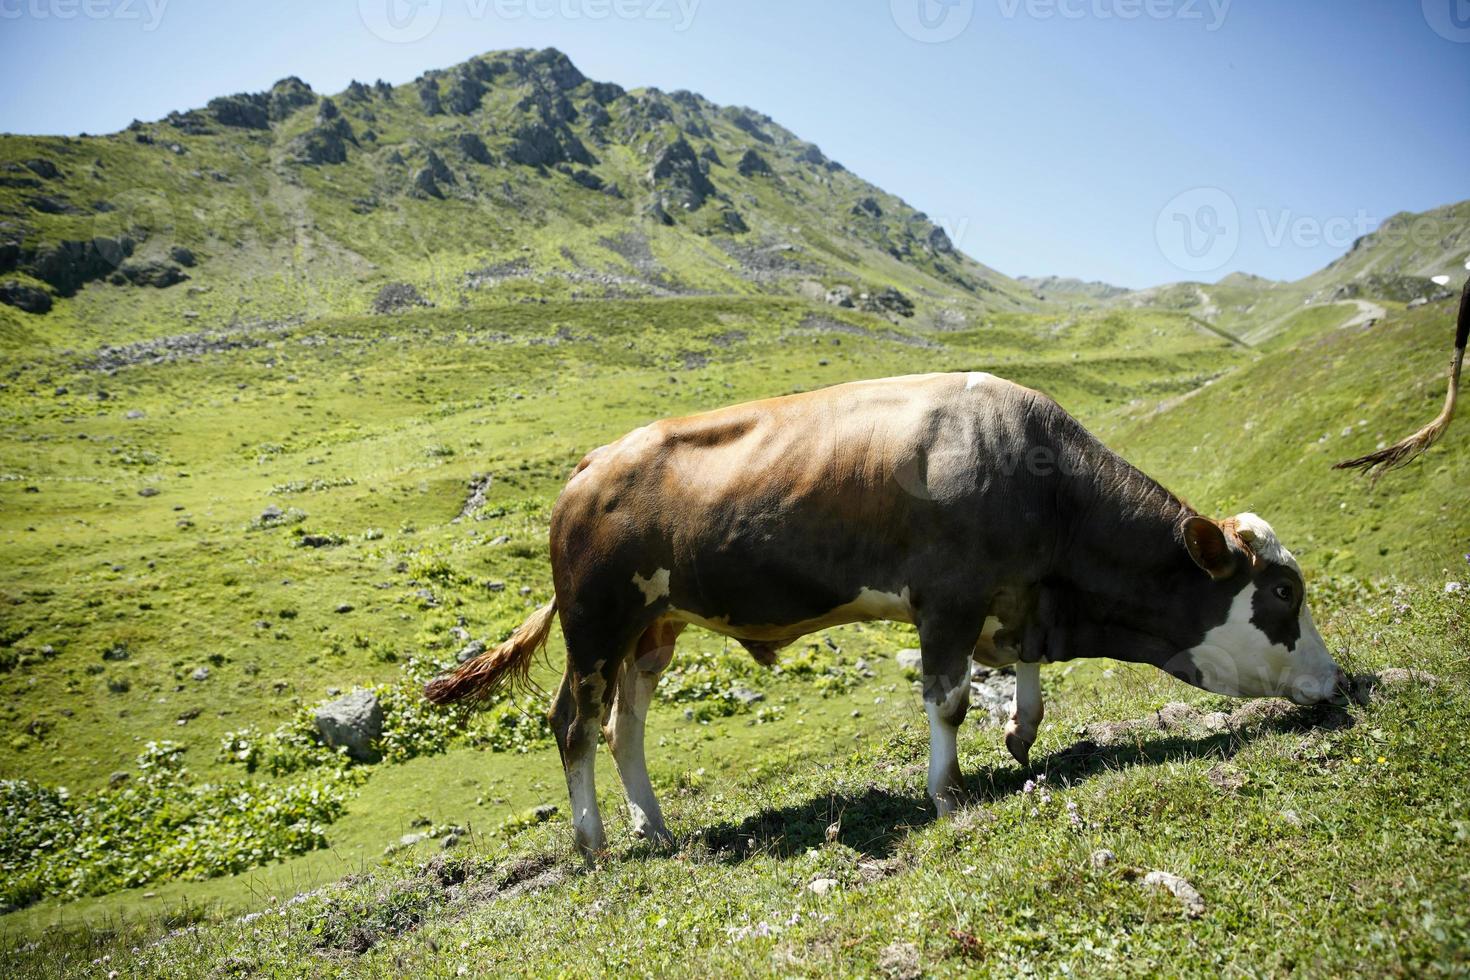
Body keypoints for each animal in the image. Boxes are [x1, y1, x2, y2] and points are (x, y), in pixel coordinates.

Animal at [423, 370, 1346, 858]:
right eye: (1283, 594)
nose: (1337, 681)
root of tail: (590, 465)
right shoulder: (949, 597)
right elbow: (949, 697)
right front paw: (948, 791)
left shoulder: (1014, 594)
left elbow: (1024, 670)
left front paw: (1020, 733)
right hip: (596, 621)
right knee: (575, 723)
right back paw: (595, 843)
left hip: (653, 629)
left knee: (626, 724)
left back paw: (655, 825)